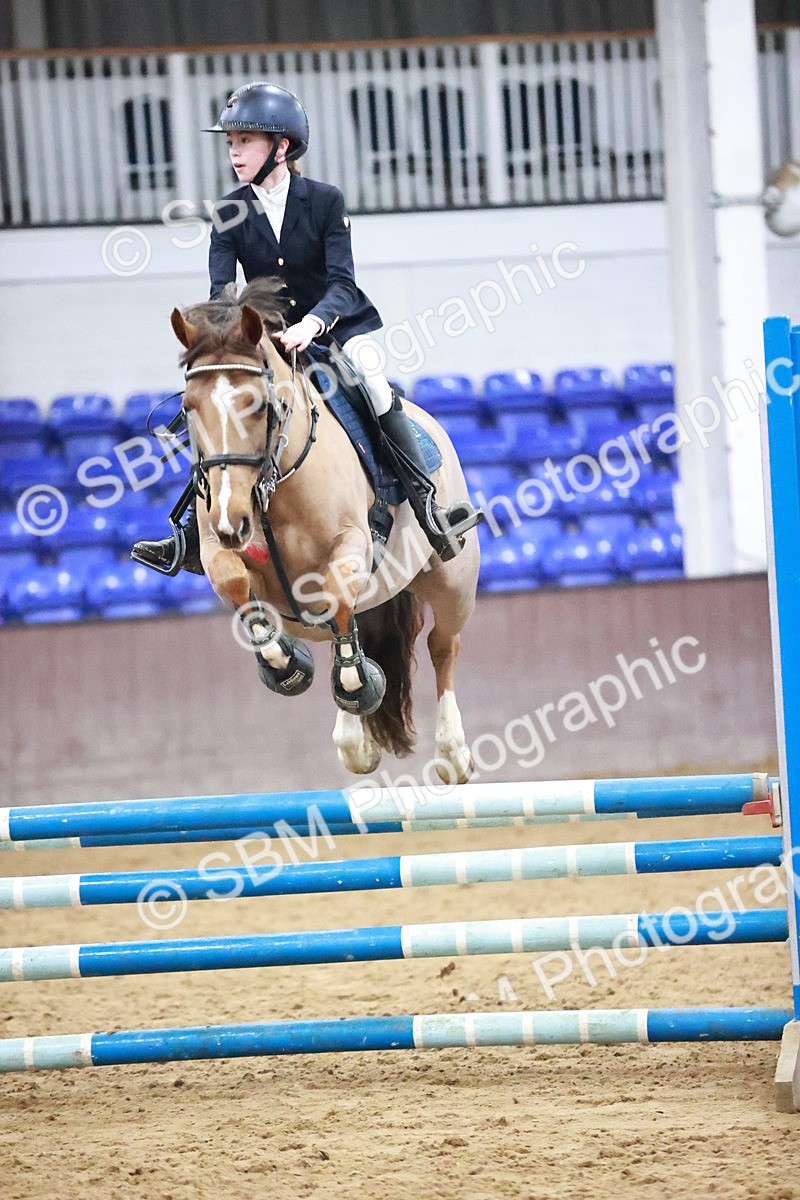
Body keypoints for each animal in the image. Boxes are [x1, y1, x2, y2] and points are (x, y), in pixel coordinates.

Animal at [169, 279, 480, 784]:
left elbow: (335, 595)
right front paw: (284, 664)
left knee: (441, 644)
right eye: (187, 408)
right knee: (347, 630)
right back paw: (356, 741)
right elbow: (236, 582)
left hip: (452, 580)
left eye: (257, 405)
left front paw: (355, 684)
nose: (233, 520)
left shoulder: (351, 544)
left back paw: (451, 752)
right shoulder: (217, 547)